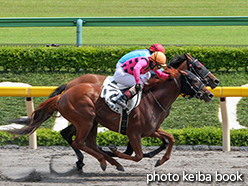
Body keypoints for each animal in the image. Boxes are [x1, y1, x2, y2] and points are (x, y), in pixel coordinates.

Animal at [9, 67, 213, 171]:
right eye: (195, 79)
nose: (210, 93)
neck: (153, 100)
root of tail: (63, 94)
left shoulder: (151, 130)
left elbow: (170, 138)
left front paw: (160, 160)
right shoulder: (134, 133)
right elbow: (137, 155)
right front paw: (115, 150)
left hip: (92, 122)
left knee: (86, 143)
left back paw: (105, 161)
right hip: (86, 120)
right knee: (78, 142)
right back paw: (104, 160)